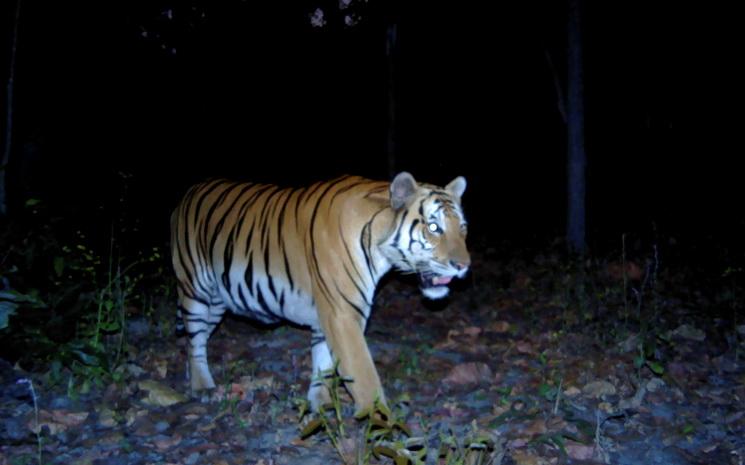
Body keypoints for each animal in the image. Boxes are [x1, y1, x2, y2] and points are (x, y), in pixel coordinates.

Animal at [170, 172, 470, 414]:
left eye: (463, 228)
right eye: (434, 227)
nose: (464, 266)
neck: (378, 243)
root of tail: (189, 192)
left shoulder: (328, 315)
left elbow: (323, 363)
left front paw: (320, 404)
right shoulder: (343, 314)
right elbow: (364, 377)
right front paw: (384, 427)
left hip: (219, 300)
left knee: (195, 338)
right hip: (195, 290)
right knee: (194, 340)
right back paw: (202, 387)